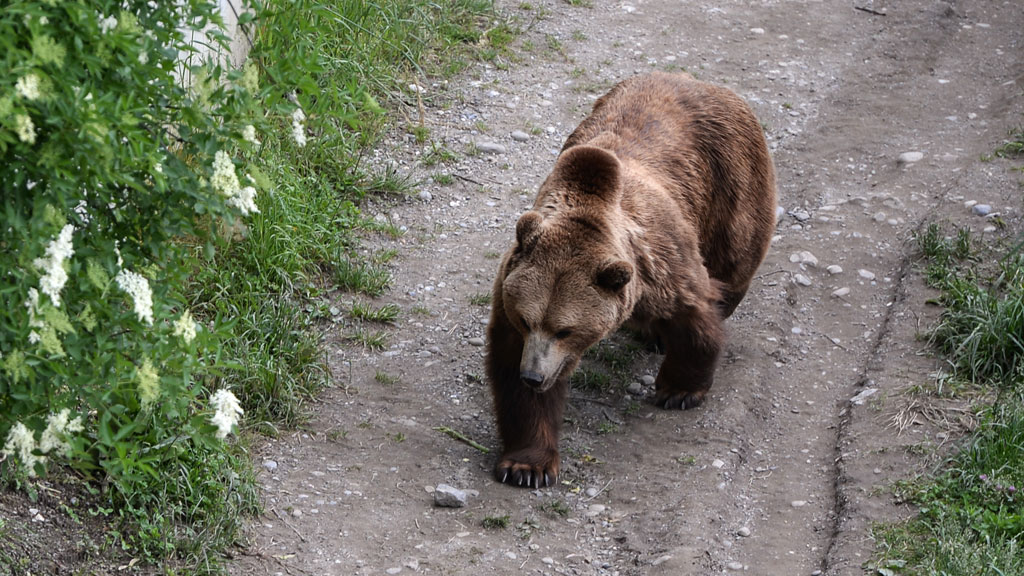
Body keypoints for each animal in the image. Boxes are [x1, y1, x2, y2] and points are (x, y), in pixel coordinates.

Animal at [483, 70, 770, 483]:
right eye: (527, 320)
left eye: (564, 330)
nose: (533, 376)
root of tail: (693, 79)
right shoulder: (511, 293)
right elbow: (511, 373)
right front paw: (526, 465)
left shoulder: (661, 262)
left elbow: (695, 313)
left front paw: (679, 390)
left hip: (733, 181)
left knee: (734, 262)